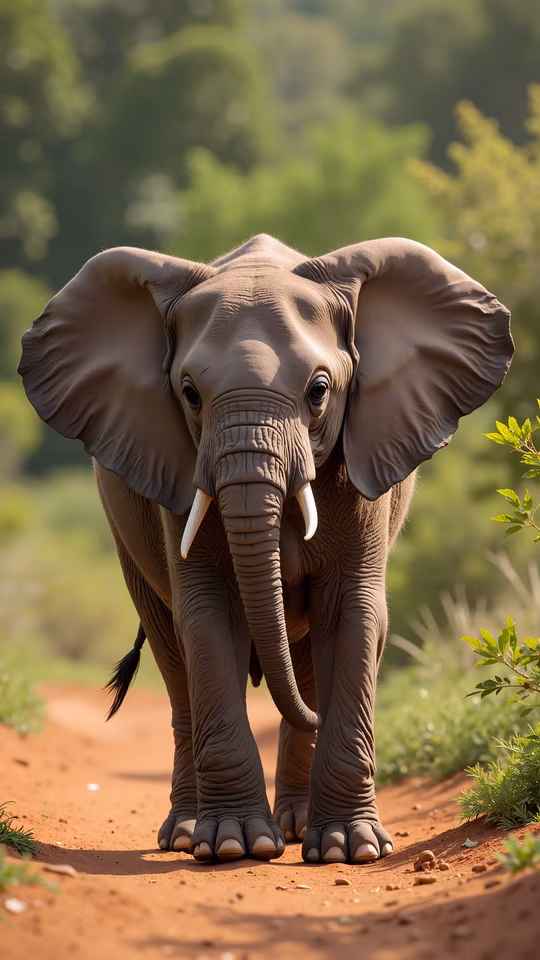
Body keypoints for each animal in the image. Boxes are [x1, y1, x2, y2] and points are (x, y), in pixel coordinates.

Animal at [19, 233, 513, 865]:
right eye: (189, 394)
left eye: (319, 391)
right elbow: (204, 614)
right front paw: (234, 845)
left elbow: (352, 614)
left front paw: (350, 850)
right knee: (171, 649)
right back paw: (187, 833)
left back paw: (300, 828)